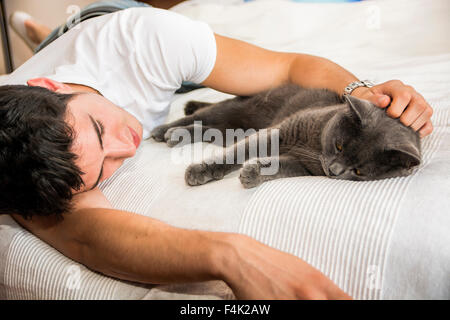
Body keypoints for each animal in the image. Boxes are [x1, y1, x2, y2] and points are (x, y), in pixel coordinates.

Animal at [151, 84, 422, 189]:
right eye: (339, 146)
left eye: (358, 172)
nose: (334, 171)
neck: (314, 145)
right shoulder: (279, 131)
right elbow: (242, 151)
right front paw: (202, 169)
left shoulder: (305, 166)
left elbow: (281, 167)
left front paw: (253, 173)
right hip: (241, 108)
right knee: (203, 116)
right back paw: (167, 131)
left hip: (229, 129)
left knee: (208, 128)